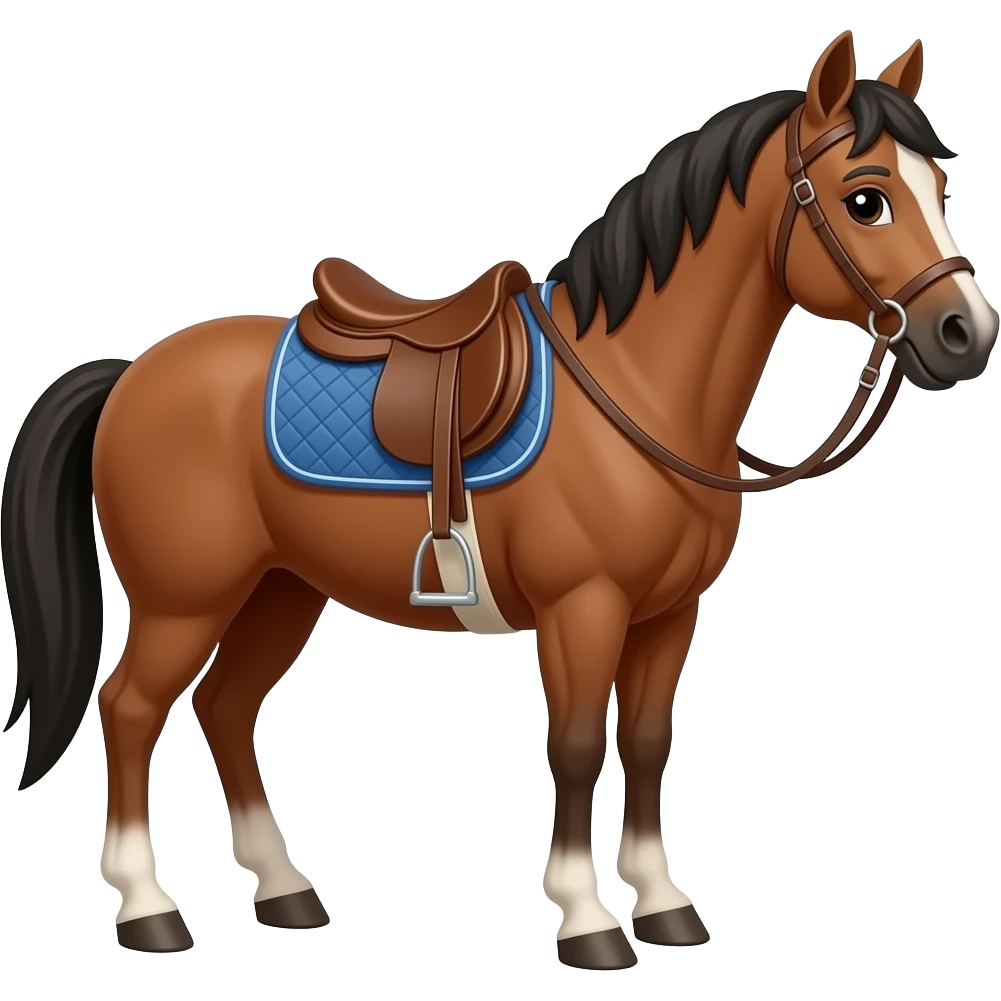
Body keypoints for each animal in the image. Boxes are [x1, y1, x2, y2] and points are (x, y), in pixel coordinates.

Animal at [2, 30, 996, 969]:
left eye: (940, 187)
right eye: (865, 196)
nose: (966, 333)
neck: (635, 389)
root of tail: (133, 372)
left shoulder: (669, 614)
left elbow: (645, 741)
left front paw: (662, 903)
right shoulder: (582, 608)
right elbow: (577, 745)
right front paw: (587, 919)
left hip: (281, 589)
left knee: (225, 707)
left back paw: (283, 889)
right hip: (186, 599)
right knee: (131, 707)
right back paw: (147, 907)